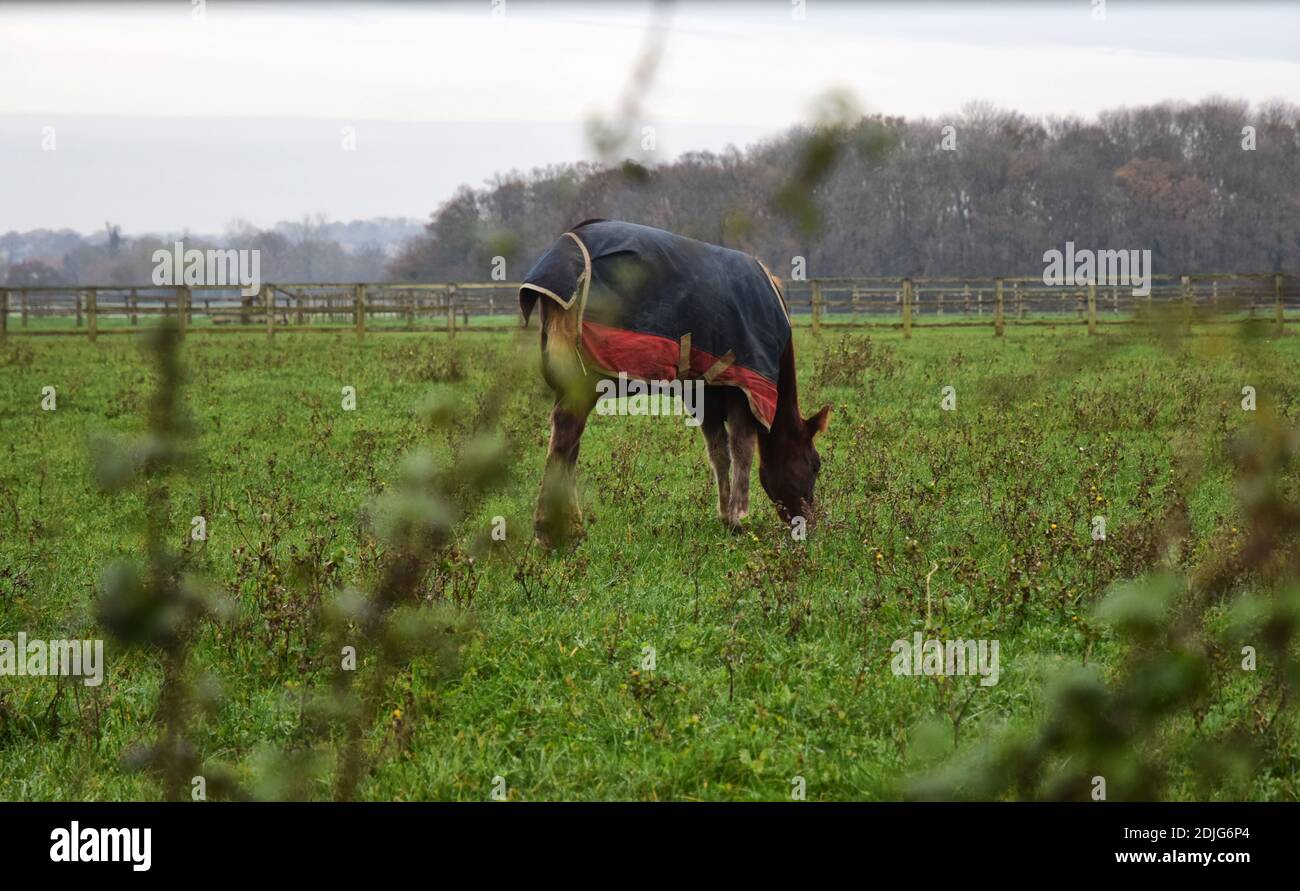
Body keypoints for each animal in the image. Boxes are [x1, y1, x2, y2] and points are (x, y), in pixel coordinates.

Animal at [519, 219, 830, 547]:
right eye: (815, 464)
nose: (809, 523)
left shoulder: (705, 392)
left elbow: (719, 452)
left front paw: (725, 515)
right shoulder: (743, 390)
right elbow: (742, 449)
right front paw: (738, 519)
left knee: (569, 445)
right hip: (583, 381)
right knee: (565, 439)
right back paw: (552, 532)